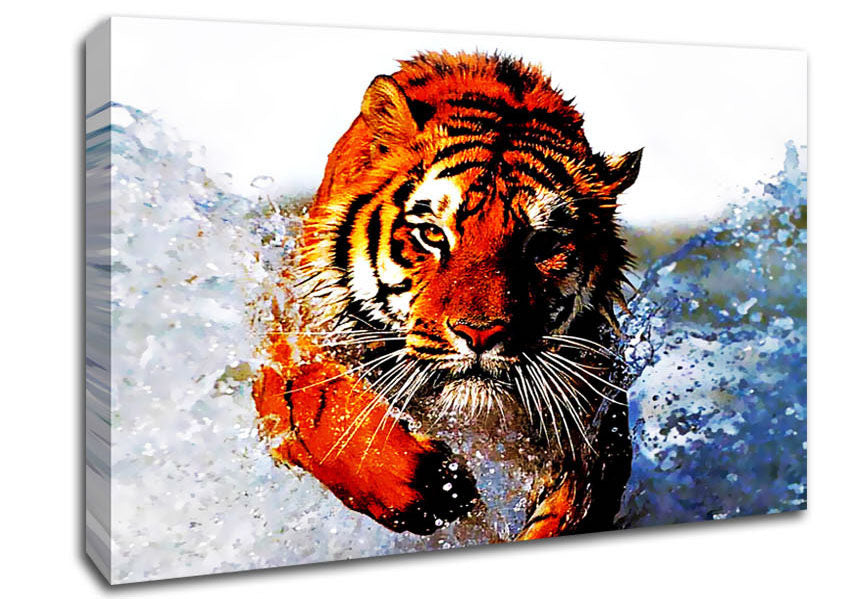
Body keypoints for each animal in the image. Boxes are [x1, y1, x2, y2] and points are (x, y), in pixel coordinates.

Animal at [252, 51, 641, 540]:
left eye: (541, 244)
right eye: (433, 234)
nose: (481, 334)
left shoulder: (594, 414)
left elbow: (574, 507)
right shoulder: (293, 345)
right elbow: (325, 413)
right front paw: (437, 487)